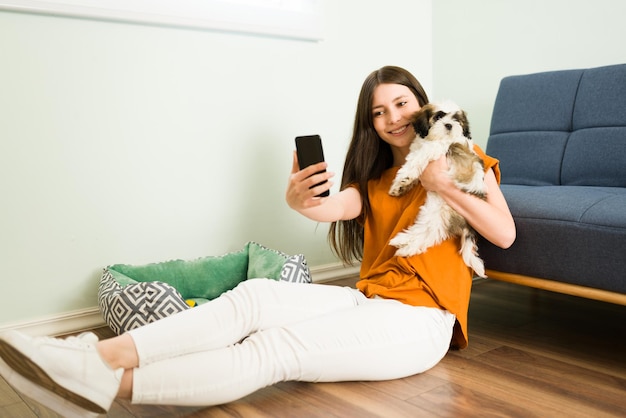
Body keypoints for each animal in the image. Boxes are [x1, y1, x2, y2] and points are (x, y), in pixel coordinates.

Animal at [386, 101, 488, 278]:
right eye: (439, 116)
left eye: (456, 120)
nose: (449, 125)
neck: (434, 138)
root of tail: (468, 224)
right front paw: (401, 186)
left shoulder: (435, 149)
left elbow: (415, 161)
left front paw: (403, 179)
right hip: (436, 212)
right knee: (426, 232)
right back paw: (403, 243)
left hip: (444, 213)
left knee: (428, 233)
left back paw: (404, 246)